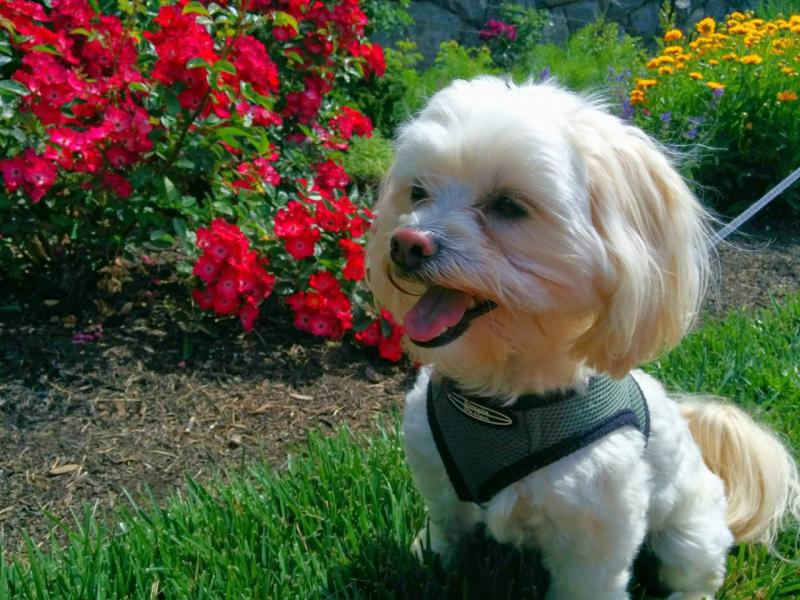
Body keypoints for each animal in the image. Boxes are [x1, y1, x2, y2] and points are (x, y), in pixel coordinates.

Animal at [364, 77, 800, 596]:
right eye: (417, 192)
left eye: (509, 205)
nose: (406, 244)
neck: (501, 399)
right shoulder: (438, 477)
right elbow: (446, 531)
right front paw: (430, 561)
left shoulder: (596, 532)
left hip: (689, 534)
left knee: (696, 572)